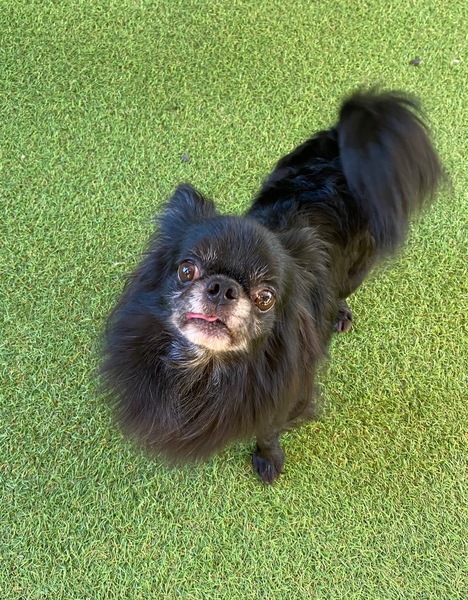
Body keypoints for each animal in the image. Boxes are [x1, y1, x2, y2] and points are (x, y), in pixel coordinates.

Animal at [101, 90, 441, 483]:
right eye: (187, 269)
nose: (223, 288)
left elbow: (268, 430)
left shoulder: (288, 398)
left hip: (357, 269)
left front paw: (268, 458)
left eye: (265, 297)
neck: (208, 368)